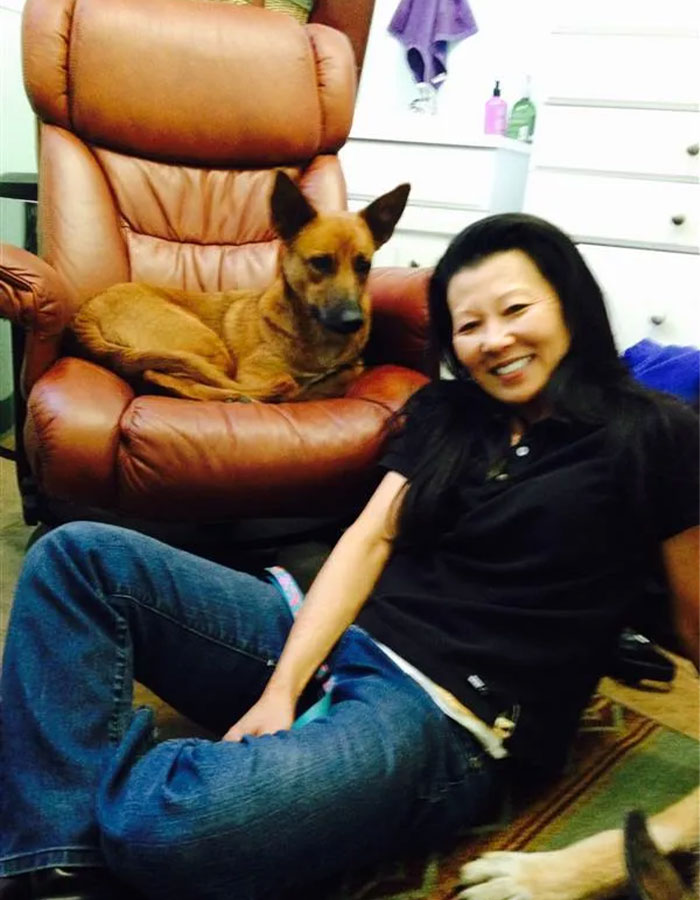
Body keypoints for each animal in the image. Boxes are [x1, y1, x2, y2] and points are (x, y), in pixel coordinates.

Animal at [71, 171, 410, 402]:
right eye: (321, 262)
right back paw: (236, 397)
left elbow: (346, 374)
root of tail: (88, 309)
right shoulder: (254, 374)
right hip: (206, 345)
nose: (353, 321)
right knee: (162, 373)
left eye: (364, 265)